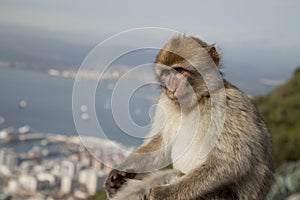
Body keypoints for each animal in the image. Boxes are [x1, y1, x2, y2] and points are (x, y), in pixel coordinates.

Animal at [103, 35, 274, 200]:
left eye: (179, 70)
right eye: (166, 74)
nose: (170, 86)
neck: (197, 100)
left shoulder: (227, 106)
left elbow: (229, 160)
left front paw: (163, 193)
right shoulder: (165, 102)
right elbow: (162, 144)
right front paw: (120, 173)